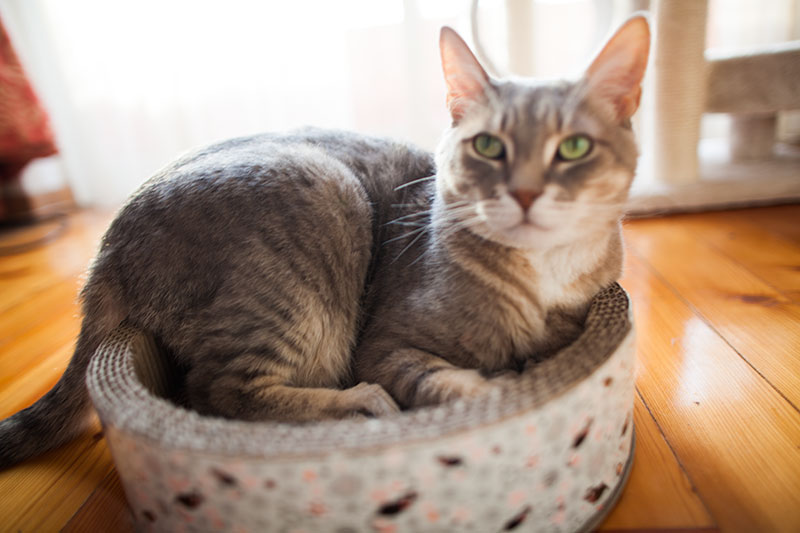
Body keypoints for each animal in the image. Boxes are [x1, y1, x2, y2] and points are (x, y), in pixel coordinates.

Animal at [0, 14, 648, 468]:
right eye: (489, 146)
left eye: (573, 148)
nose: (526, 193)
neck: (542, 278)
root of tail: (104, 254)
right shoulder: (386, 345)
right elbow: (450, 382)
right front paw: (501, 381)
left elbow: (555, 340)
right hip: (310, 228)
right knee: (218, 392)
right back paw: (357, 405)